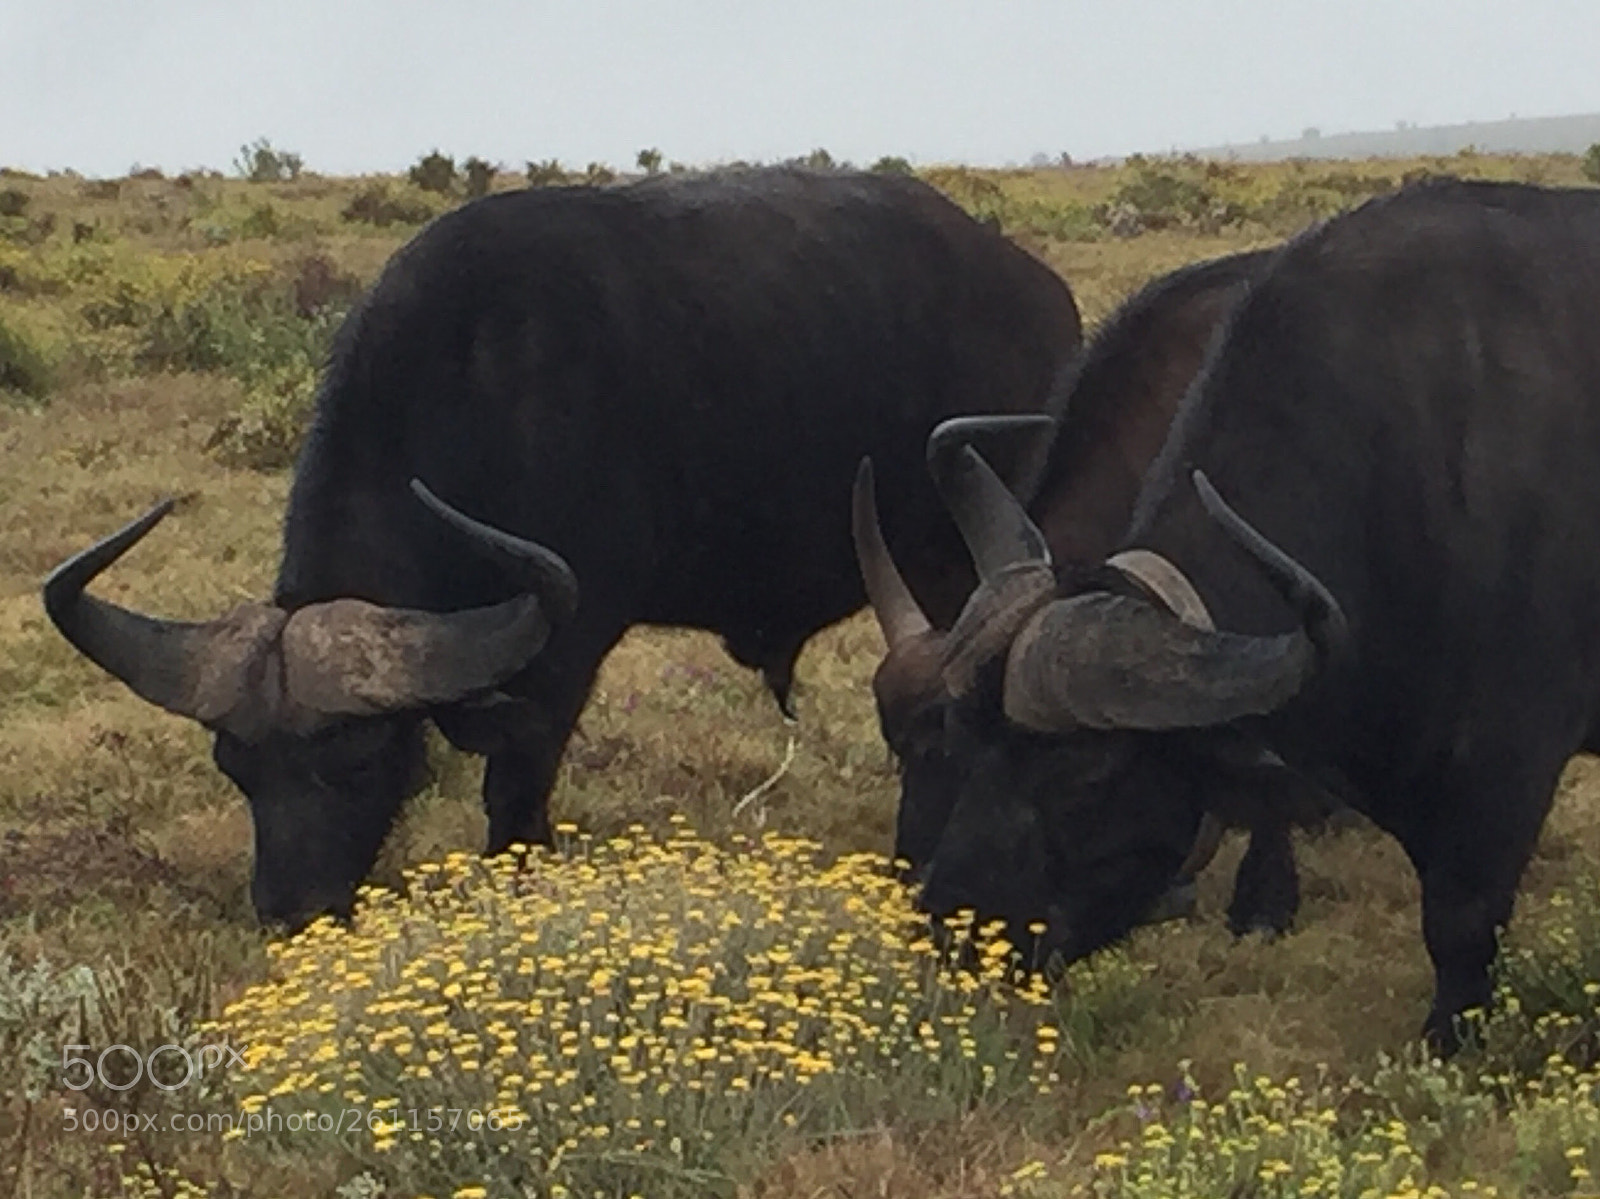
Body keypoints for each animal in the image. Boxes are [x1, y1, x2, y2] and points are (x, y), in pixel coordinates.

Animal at [43, 167, 1081, 928]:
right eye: (237, 768)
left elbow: (516, 801)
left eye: (357, 763)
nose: (289, 911)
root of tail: (1045, 294)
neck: (475, 386)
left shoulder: (563, 654)